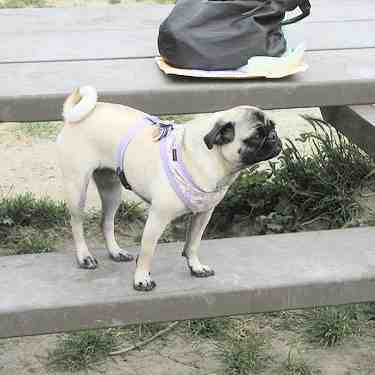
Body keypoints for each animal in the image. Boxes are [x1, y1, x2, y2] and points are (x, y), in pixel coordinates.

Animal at [58, 86, 282, 292]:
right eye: (256, 136)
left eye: (273, 127)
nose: (274, 137)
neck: (212, 159)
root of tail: (83, 112)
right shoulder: (157, 217)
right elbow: (147, 252)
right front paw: (142, 279)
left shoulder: (203, 214)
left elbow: (192, 244)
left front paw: (196, 267)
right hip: (77, 188)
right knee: (76, 224)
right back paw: (84, 257)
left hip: (111, 189)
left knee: (106, 222)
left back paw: (115, 252)